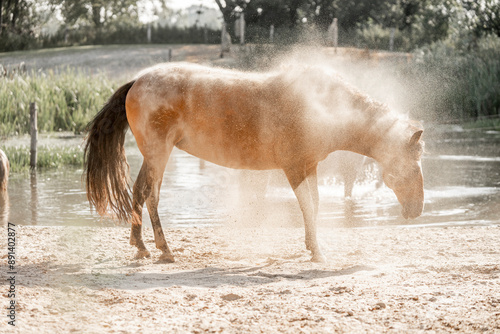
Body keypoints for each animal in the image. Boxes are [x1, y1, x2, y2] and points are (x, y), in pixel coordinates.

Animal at [84, 61, 424, 262]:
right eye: (410, 166)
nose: (417, 209)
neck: (326, 106)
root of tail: (137, 81)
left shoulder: (309, 167)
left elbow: (313, 205)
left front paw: (310, 244)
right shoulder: (294, 169)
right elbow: (308, 206)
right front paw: (317, 252)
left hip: (154, 155)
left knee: (141, 193)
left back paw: (144, 246)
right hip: (159, 153)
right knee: (149, 194)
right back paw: (161, 249)